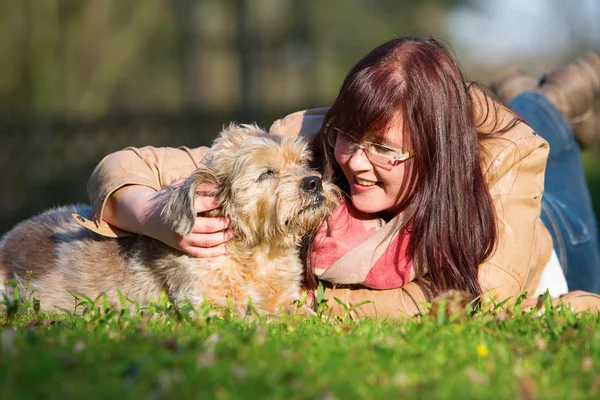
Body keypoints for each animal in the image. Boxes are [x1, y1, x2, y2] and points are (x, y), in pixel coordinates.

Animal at [0, 124, 338, 312]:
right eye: (266, 173)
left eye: (303, 162)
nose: (313, 182)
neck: (256, 252)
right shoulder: (210, 304)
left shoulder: (285, 296)